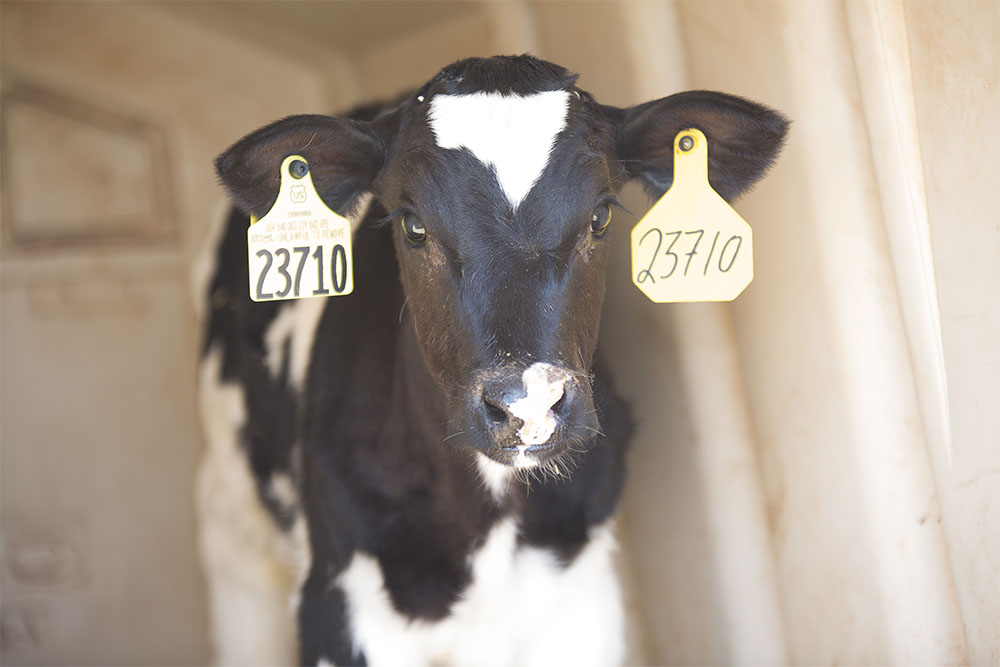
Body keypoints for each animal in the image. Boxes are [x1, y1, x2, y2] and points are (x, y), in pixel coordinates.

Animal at [197, 54, 788, 664]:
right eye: (412, 224)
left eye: (600, 216)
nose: (528, 407)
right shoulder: (337, 606)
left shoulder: (579, 594)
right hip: (231, 520)